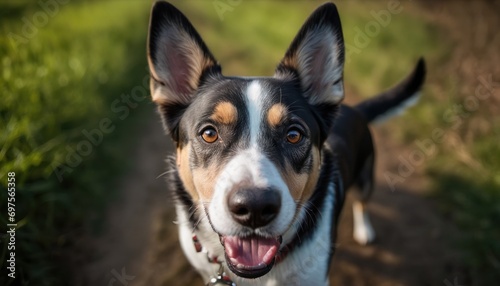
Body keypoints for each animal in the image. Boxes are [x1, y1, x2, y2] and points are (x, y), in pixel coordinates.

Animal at [146, 1, 424, 284]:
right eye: (209, 133)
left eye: (293, 135)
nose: (255, 207)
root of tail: (354, 109)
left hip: (365, 173)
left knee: (363, 200)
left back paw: (364, 229)